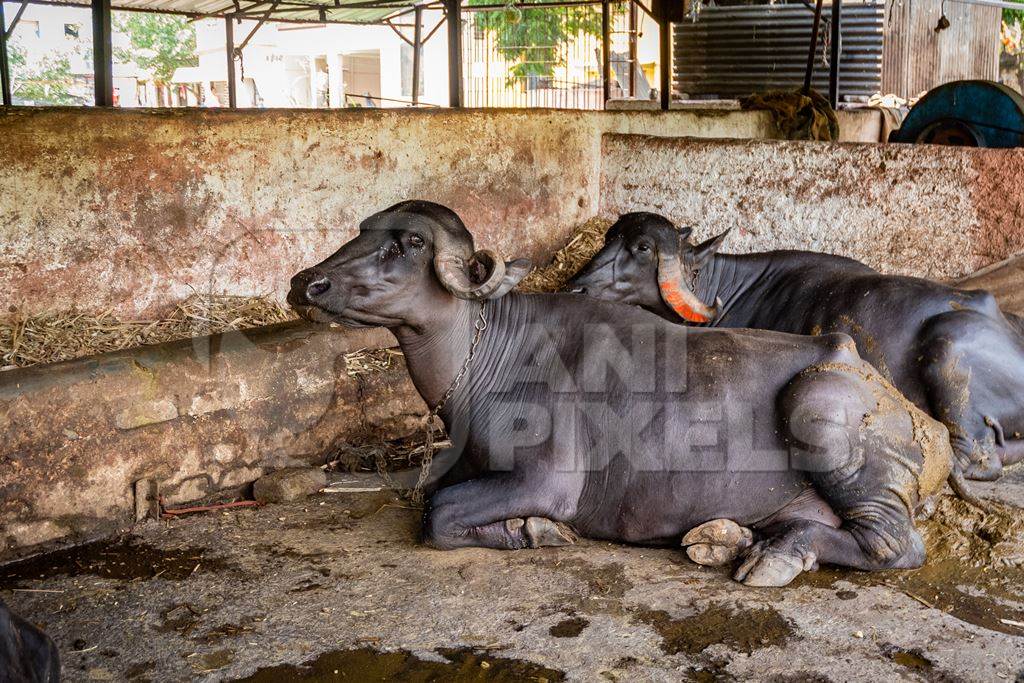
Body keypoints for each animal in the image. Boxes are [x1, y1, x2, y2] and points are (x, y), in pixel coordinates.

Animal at [288, 198, 950, 589]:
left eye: (410, 245)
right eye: (363, 233)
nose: (305, 282)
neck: (485, 356)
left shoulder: (547, 479)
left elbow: (439, 512)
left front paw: (535, 531)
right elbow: (433, 496)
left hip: (817, 407)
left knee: (892, 543)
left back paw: (772, 557)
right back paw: (733, 540)